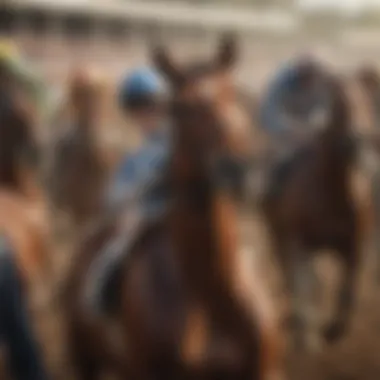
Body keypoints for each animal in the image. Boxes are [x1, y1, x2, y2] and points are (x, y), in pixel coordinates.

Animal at [63, 35, 282, 380]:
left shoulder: (265, 370)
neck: (209, 297)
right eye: (179, 108)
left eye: (232, 93)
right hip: (85, 358)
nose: (237, 170)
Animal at [260, 71, 370, 350]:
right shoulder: (298, 244)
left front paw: (332, 330)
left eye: (364, 100)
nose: (358, 141)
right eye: (340, 106)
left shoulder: (354, 246)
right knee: (289, 275)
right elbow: (301, 284)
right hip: (278, 236)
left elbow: (348, 290)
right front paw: (307, 336)